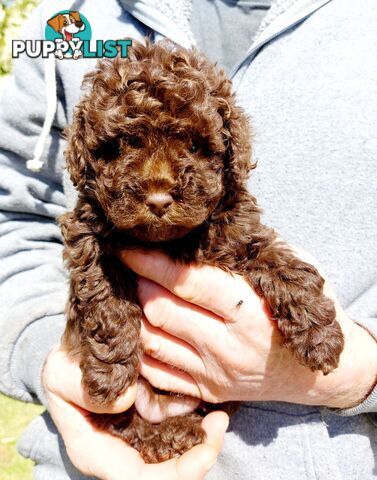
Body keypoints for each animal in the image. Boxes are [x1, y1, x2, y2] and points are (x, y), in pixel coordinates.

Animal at [58, 40, 344, 462]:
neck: (170, 239)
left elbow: (281, 262)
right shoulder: (88, 237)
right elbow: (105, 298)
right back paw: (167, 435)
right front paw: (108, 373)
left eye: (194, 145)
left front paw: (319, 336)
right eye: (121, 145)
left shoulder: (238, 232)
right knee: (125, 423)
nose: (158, 200)